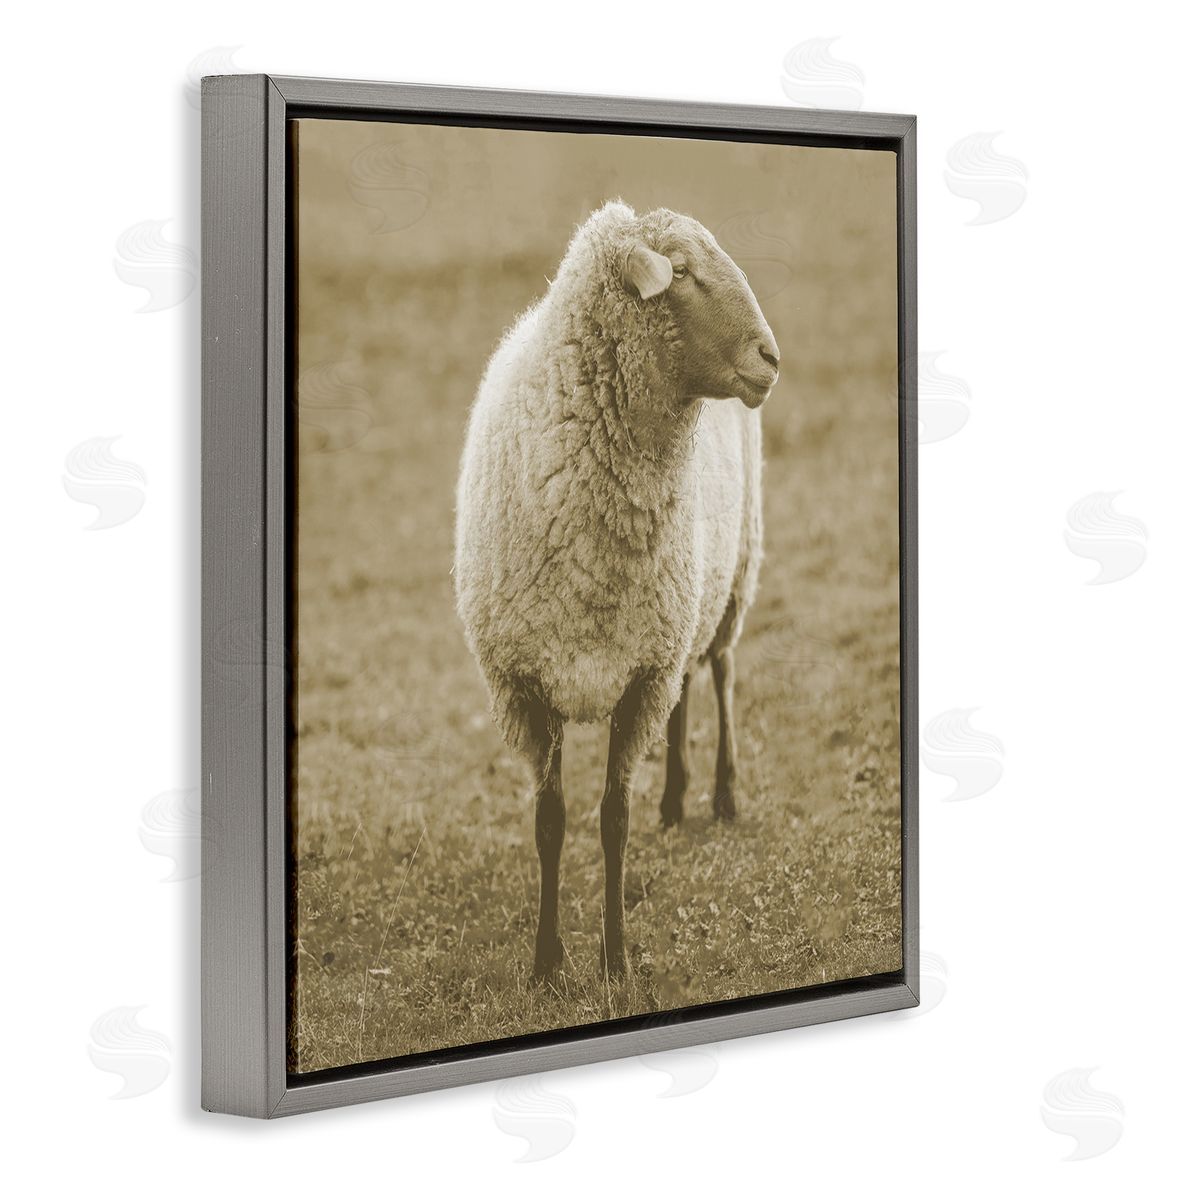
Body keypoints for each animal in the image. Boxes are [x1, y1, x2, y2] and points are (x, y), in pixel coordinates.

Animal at [454, 200, 780, 979]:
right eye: (681, 272)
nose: (771, 359)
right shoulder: (529, 684)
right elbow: (551, 822)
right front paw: (547, 964)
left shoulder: (638, 680)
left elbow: (612, 821)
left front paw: (616, 960)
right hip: (682, 606)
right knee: (690, 683)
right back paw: (676, 798)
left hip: (733, 574)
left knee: (721, 670)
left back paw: (722, 792)